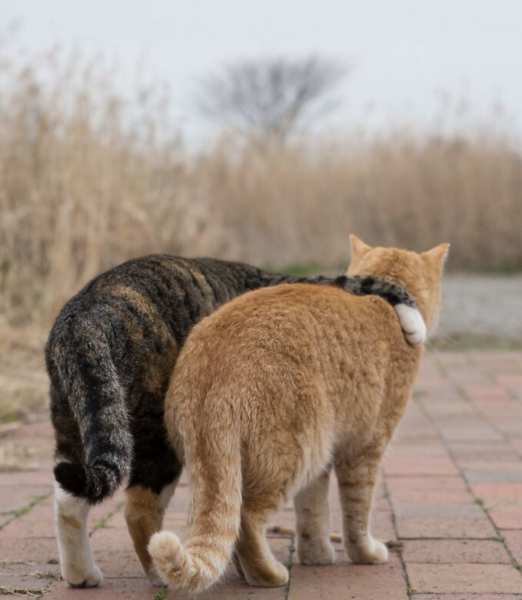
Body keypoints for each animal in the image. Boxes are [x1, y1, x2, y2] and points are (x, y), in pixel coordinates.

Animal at [46, 253, 424, 584]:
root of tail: (86, 317)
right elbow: (372, 283)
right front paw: (414, 324)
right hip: (155, 439)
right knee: (141, 511)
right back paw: (160, 576)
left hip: (79, 423)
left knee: (68, 500)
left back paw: (81, 575)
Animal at [147, 237, 446, 592]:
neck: (384, 302)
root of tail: (214, 371)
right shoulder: (364, 450)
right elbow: (357, 513)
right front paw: (365, 553)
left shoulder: (323, 464)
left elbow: (312, 512)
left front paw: (315, 556)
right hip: (295, 455)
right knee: (246, 521)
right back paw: (268, 575)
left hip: (278, 457)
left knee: (230, 524)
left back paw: (245, 572)